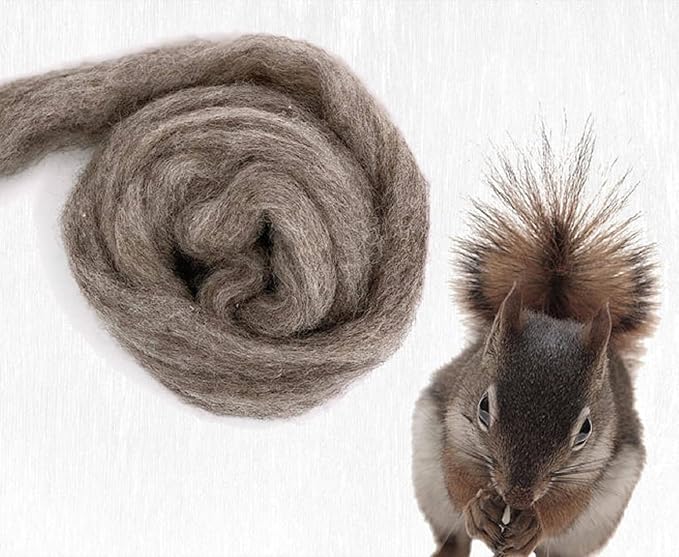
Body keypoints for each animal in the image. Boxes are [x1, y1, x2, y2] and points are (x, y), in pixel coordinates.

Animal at [412, 126, 657, 557]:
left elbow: (566, 508)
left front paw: (535, 523)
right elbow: (458, 477)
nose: (519, 496)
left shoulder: (591, 468)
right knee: (453, 536)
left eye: (585, 430)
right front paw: (478, 510)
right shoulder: (454, 429)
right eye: (483, 407)